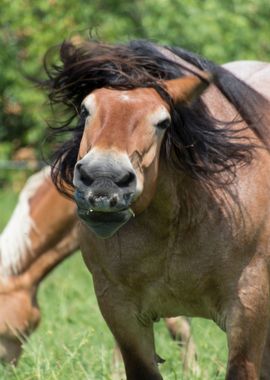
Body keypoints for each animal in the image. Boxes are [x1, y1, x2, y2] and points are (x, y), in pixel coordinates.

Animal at [43, 39, 270, 380]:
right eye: (86, 109)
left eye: (163, 122)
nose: (104, 182)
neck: (176, 223)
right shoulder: (120, 309)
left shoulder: (249, 306)